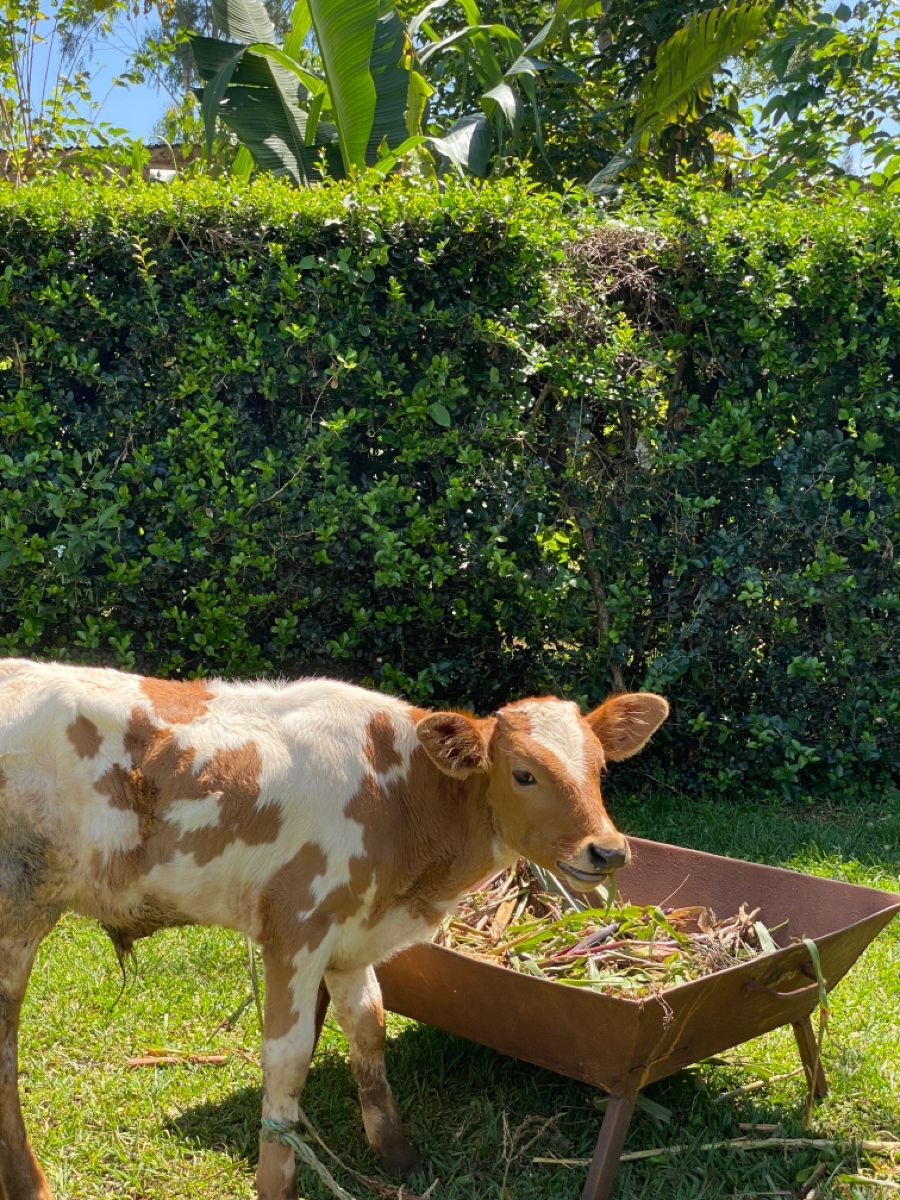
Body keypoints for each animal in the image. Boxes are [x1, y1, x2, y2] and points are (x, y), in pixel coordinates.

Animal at [0, 657, 668, 1200]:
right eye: (524, 774)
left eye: (600, 768)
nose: (607, 850)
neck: (398, 795)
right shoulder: (296, 927)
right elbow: (288, 1058)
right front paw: (277, 1182)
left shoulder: (353, 938)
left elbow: (368, 1028)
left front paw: (396, 1153)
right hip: (18, 909)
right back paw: (30, 1183)